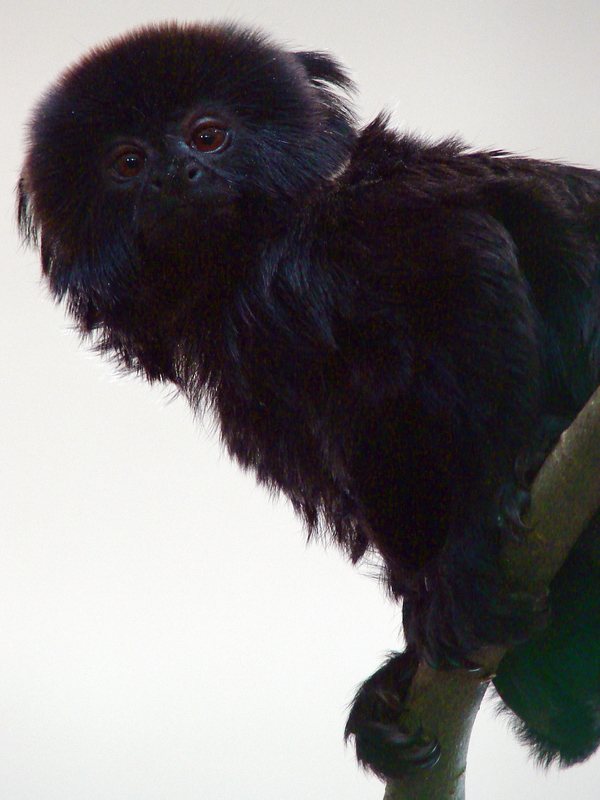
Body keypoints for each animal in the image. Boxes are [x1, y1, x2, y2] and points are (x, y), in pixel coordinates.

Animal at [17, 21, 600, 779]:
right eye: (127, 162)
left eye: (208, 136)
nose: (174, 173)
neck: (260, 261)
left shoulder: (371, 218)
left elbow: (467, 253)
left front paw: (484, 522)